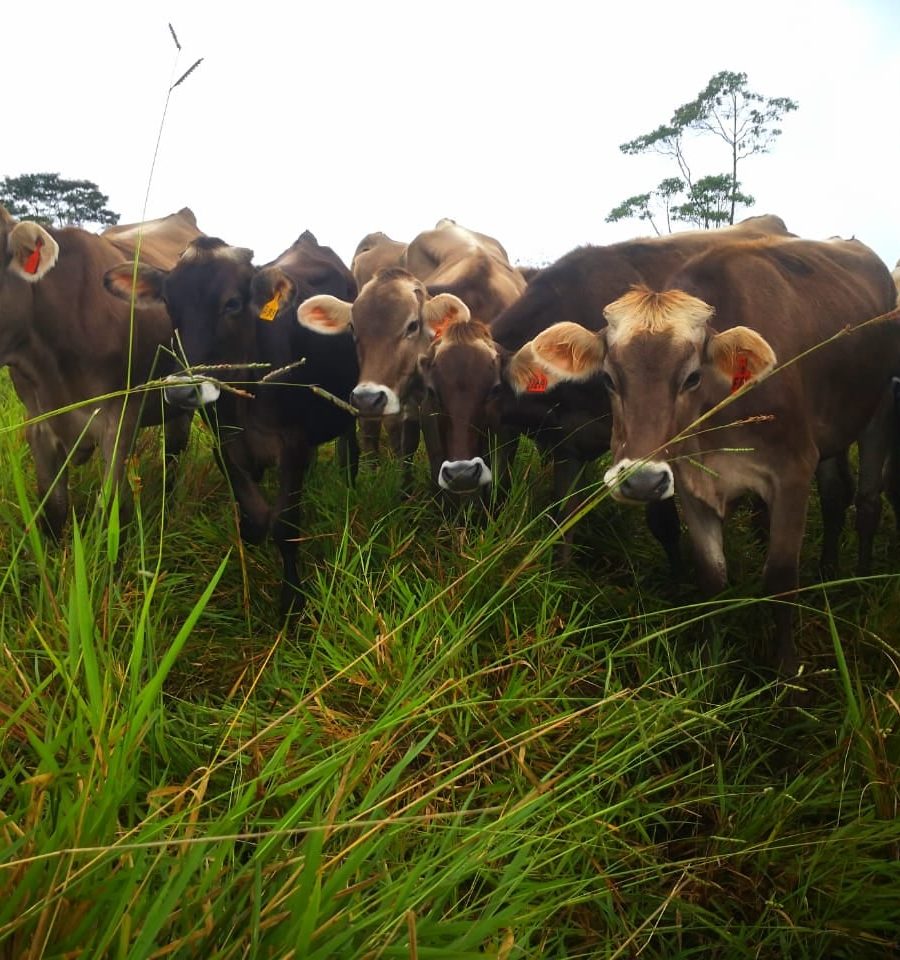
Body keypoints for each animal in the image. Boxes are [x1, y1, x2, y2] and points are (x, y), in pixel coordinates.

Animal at [104, 233, 359, 613]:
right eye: (168, 302)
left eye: (233, 303)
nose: (182, 391)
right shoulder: (225, 445)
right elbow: (252, 516)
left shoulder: (292, 446)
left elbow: (283, 524)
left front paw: (291, 604)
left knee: (351, 446)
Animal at [299, 221, 526, 489]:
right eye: (353, 327)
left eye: (413, 325)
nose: (367, 398)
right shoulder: (427, 407)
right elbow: (436, 460)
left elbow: (502, 471)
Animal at [504, 236, 900, 675]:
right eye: (608, 378)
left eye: (692, 376)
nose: (641, 481)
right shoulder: (691, 485)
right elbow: (710, 576)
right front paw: (710, 668)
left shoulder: (792, 474)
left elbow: (780, 581)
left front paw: (785, 676)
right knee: (834, 495)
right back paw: (829, 573)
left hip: (880, 410)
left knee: (867, 502)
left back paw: (860, 584)